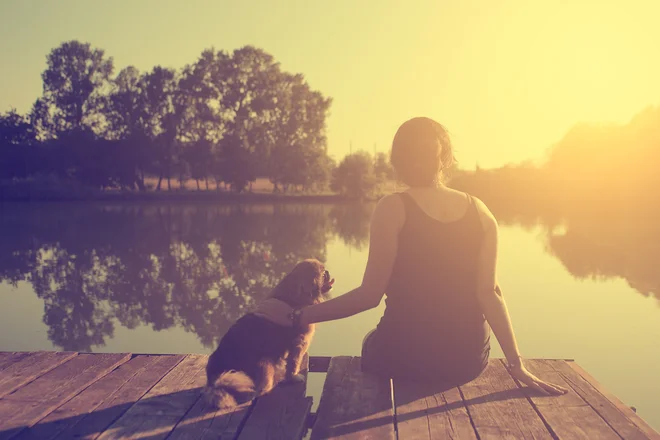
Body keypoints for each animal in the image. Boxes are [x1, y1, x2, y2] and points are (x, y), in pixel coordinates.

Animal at [202, 258, 336, 410]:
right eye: (322, 273)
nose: (327, 271)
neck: (290, 298)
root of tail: (214, 380)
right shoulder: (300, 343)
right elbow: (293, 364)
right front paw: (294, 377)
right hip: (265, 365)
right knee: (260, 389)